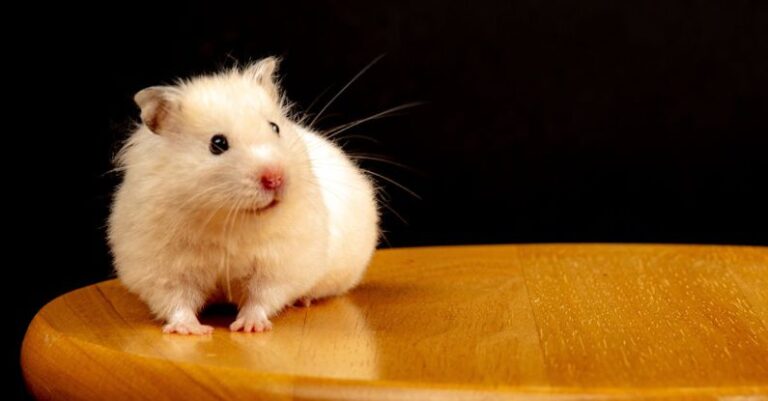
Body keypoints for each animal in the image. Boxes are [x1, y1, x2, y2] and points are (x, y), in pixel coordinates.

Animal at [106, 57, 382, 334]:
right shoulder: (162, 268)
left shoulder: (279, 263)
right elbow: (176, 301)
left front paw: (249, 327)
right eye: (217, 143)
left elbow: (262, 297)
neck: (229, 219)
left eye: (275, 127)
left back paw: (303, 300)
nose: (275, 178)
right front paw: (192, 330)